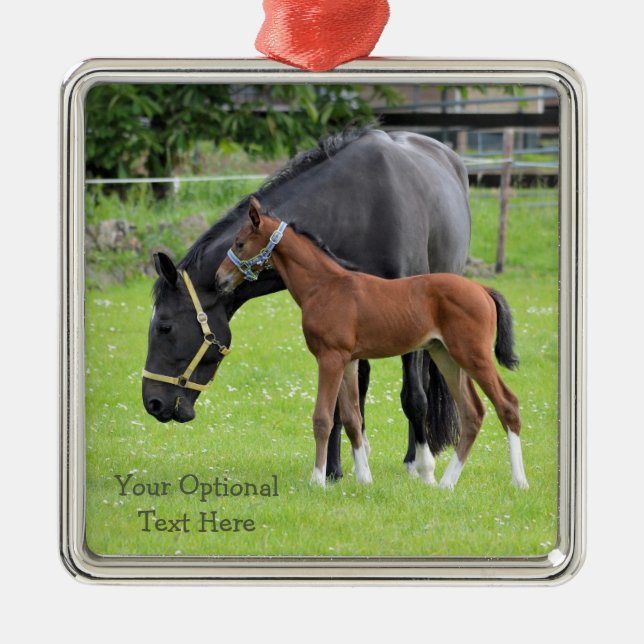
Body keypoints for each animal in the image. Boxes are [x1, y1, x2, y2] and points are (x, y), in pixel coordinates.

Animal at [142, 127, 471, 480]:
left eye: (165, 327)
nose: (152, 403)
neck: (358, 207)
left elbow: (414, 397)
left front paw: (419, 466)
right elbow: (340, 404)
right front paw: (334, 469)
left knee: (420, 384)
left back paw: (413, 457)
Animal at [215, 198, 528, 490]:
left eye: (239, 243)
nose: (220, 279)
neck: (324, 286)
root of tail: (482, 289)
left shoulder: (330, 358)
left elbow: (323, 418)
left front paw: (317, 480)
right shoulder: (349, 361)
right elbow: (353, 418)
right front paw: (364, 478)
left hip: (473, 355)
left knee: (507, 404)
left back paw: (519, 481)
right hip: (447, 356)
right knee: (472, 413)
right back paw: (446, 483)